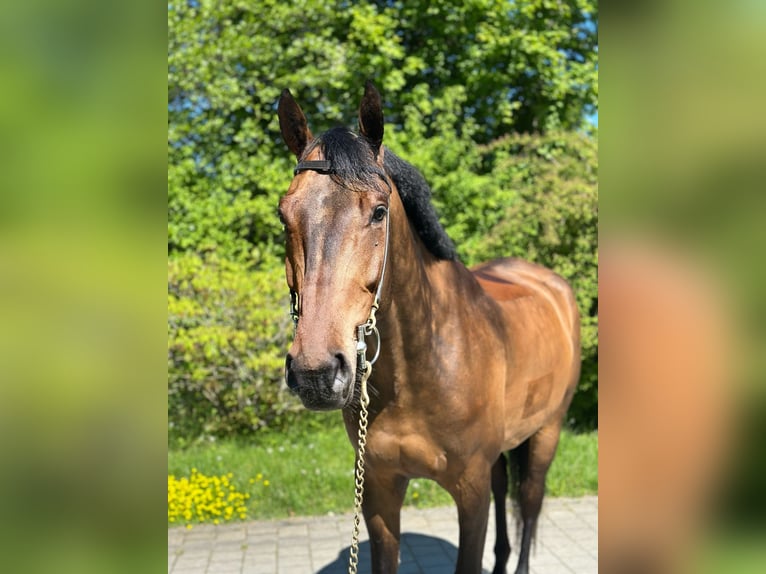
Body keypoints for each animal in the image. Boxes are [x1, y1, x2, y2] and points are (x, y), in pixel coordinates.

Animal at [277, 81, 581, 574]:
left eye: (379, 211)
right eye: (284, 215)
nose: (317, 373)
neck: (424, 365)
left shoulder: (470, 494)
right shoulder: (379, 491)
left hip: (546, 432)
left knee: (530, 501)